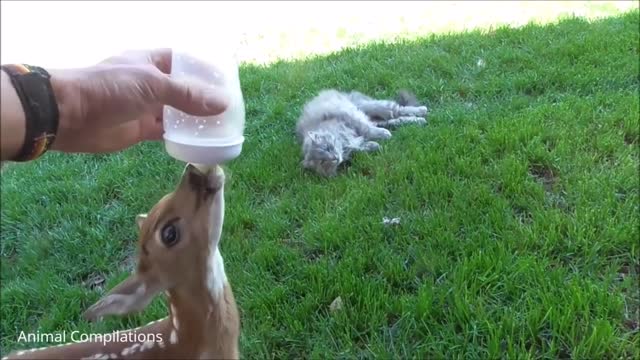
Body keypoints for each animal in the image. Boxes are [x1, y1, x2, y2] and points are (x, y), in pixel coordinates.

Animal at [296, 88, 428, 176]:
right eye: (323, 161)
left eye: (327, 148)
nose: (335, 158)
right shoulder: (351, 146)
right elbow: (360, 147)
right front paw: (373, 145)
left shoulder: (349, 116)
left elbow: (367, 130)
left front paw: (382, 135)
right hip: (381, 119)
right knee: (398, 119)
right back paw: (419, 120)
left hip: (371, 107)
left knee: (398, 109)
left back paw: (422, 111)